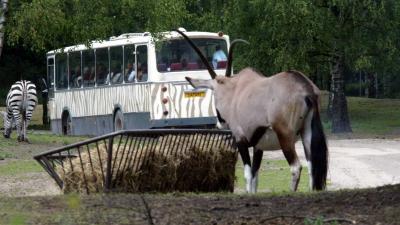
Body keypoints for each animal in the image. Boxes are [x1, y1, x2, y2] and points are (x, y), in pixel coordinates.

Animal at [177, 29, 330, 192]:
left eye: (214, 95)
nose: (219, 123)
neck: (234, 91)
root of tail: (306, 88)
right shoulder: (258, 147)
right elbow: (255, 176)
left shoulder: (240, 140)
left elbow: (248, 175)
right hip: (307, 133)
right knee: (312, 168)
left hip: (285, 136)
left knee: (296, 167)